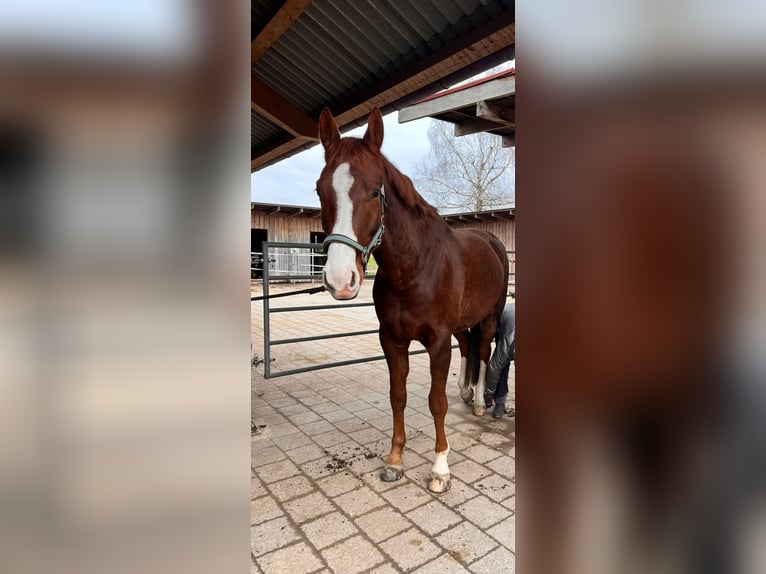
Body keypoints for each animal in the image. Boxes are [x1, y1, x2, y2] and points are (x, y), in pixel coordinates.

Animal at [316, 109, 508, 496]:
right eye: (319, 189)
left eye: (375, 191)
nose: (341, 280)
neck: (414, 268)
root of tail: (491, 240)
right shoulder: (392, 339)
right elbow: (398, 396)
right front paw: (394, 461)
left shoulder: (437, 342)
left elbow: (437, 403)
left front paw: (440, 469)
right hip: (463, 323)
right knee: (468, 346)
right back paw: (466, 391)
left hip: (491, 316)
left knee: (482, 350)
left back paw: (480, 402)